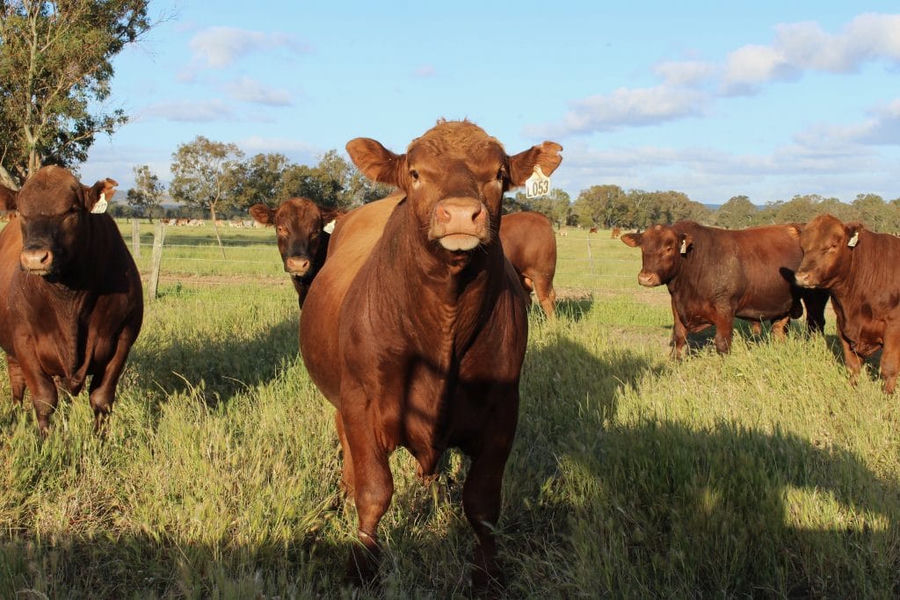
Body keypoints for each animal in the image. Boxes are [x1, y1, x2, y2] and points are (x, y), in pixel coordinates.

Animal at [0, 166, 143, 434]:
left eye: (71, 210)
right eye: (23, 212)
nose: (35, 258)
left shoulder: (122, 338)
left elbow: (101, 399)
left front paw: (100, 440)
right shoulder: (24, 340)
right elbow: (44, 399)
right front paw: (46, 440)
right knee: (17, 381)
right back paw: (14, 414)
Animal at [299, 120, 562, 589]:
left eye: (499, 174)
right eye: (416, 173)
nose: (459, 214)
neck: (444, 321)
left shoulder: (503, 409)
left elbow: (482, 503)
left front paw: (487, 574)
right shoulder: (361, 404)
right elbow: (374, 491)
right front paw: (361, 564)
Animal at [621, 221, 827, 357]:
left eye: (669, 247)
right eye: (642, 248)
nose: (646, 278)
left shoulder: (725, 310)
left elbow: (722, 343)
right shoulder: (677, 307)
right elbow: (679, 337)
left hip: (815, 298)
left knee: (815, 325)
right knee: (779, 329)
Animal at [794, 214, 900, 393]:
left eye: (833, 245)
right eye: (802, 247)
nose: (802, 277)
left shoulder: (893, 327)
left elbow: (888, 366)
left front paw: (887, 394)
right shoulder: (842, 323)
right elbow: (852, 365)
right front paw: (852, 388)